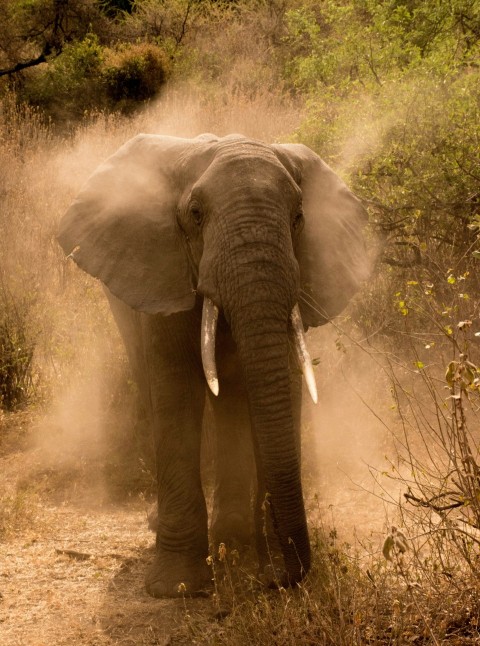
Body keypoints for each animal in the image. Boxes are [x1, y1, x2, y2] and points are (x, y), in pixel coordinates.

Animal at [57, 134, 372, 600]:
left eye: (298, 218)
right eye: (195, 214)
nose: (279, 579)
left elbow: (277, 385)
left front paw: (251, 563)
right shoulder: (163, 273)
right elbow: (175, 392)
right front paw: (177, 587)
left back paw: (237, 541)